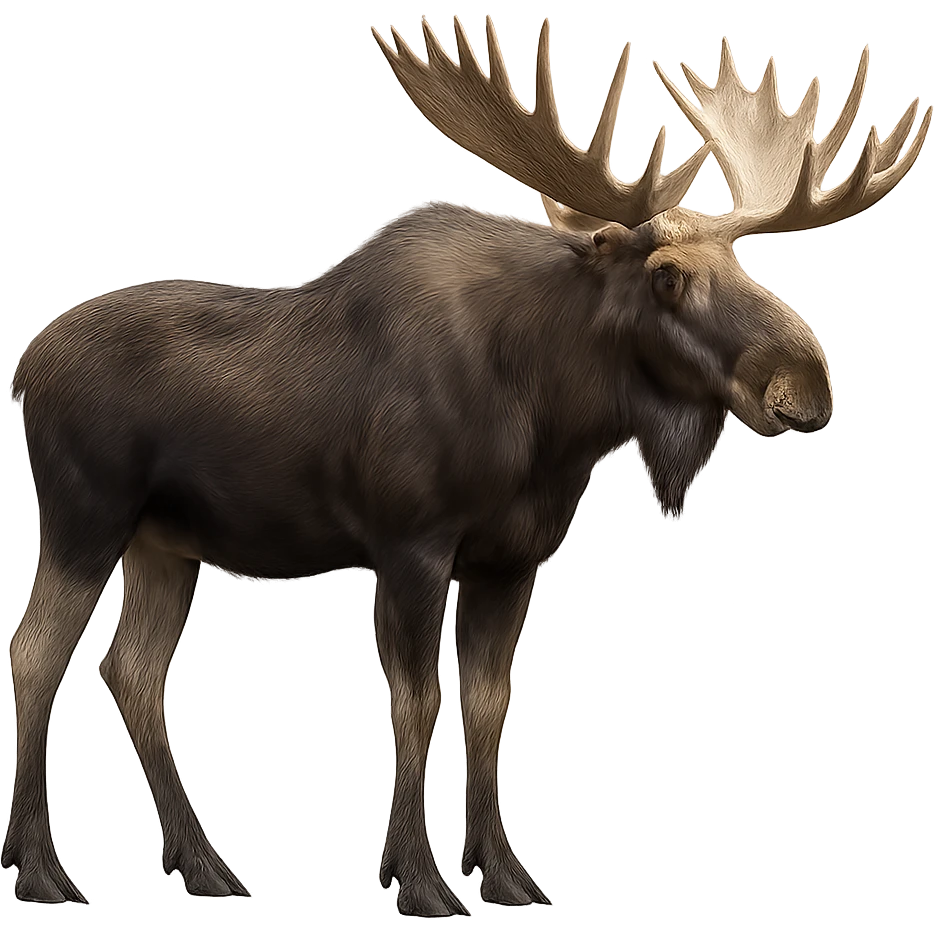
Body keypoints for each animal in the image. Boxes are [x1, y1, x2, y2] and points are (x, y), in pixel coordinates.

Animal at [2, 14, 929, 917]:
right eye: (666, 274)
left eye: (745, 264)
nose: (806, 387)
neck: (553, 424)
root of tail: (21, 367)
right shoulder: (409, 546)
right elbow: (416, 704)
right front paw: (418, 882)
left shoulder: (510, 561)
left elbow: (489, 708)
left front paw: (506, 877)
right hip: (86, 517)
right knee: (36, 653)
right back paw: (42, 874)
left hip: (167, 544)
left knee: (130, 670)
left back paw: (203, 867)